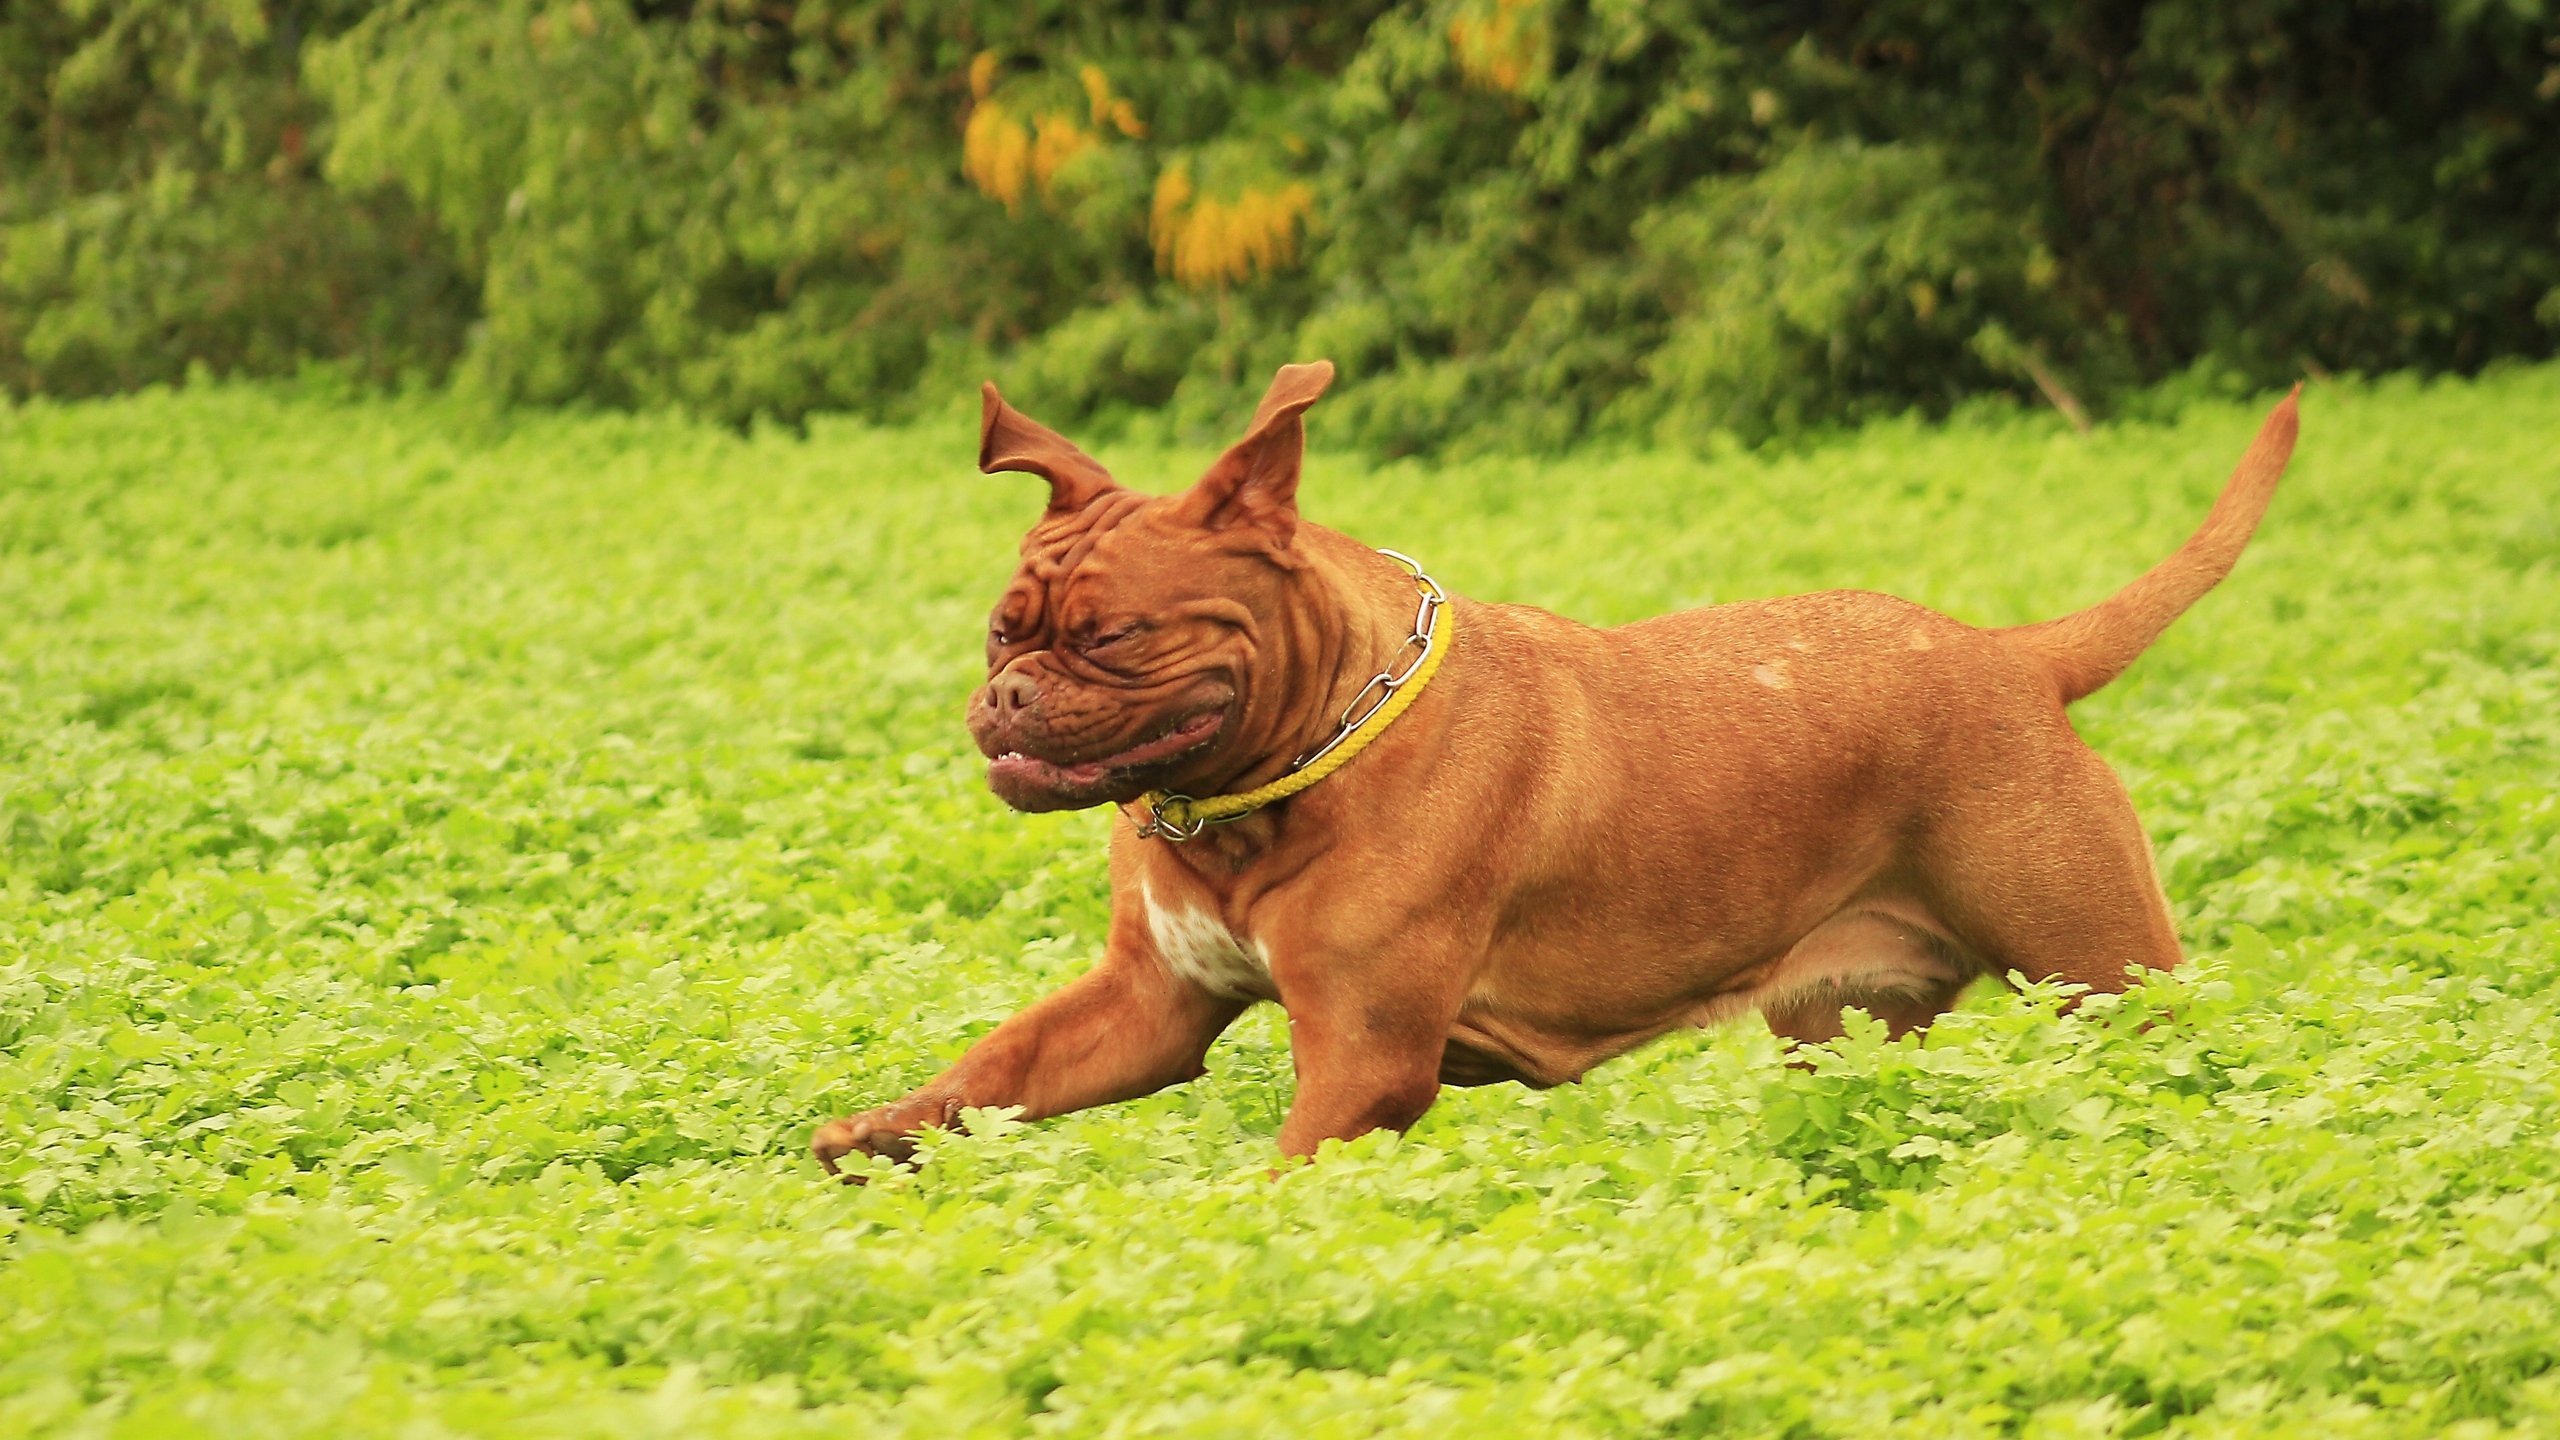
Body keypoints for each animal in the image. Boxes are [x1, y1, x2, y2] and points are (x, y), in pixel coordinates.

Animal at [814, 363, 2304, 1173]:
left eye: (1115, 637)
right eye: (1002, 627)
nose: (1007, 693)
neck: (1265, 791)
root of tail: (2013, 656)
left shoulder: (1362, 1065)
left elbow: (1274, 1175)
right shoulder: (1147, 1007)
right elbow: (994, 1068)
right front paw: (880, 1130)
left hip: (2102, 972)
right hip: (1846, 1018)